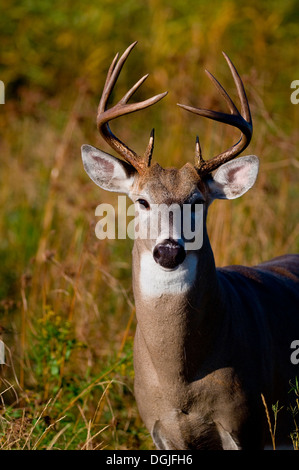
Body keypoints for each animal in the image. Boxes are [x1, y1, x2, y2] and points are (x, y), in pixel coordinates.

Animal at [81, 43, 299, 448]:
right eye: (142, 201)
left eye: (197, 201)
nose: (169, 251)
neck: (180, 382)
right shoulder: (157, 426)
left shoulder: (248, 421)